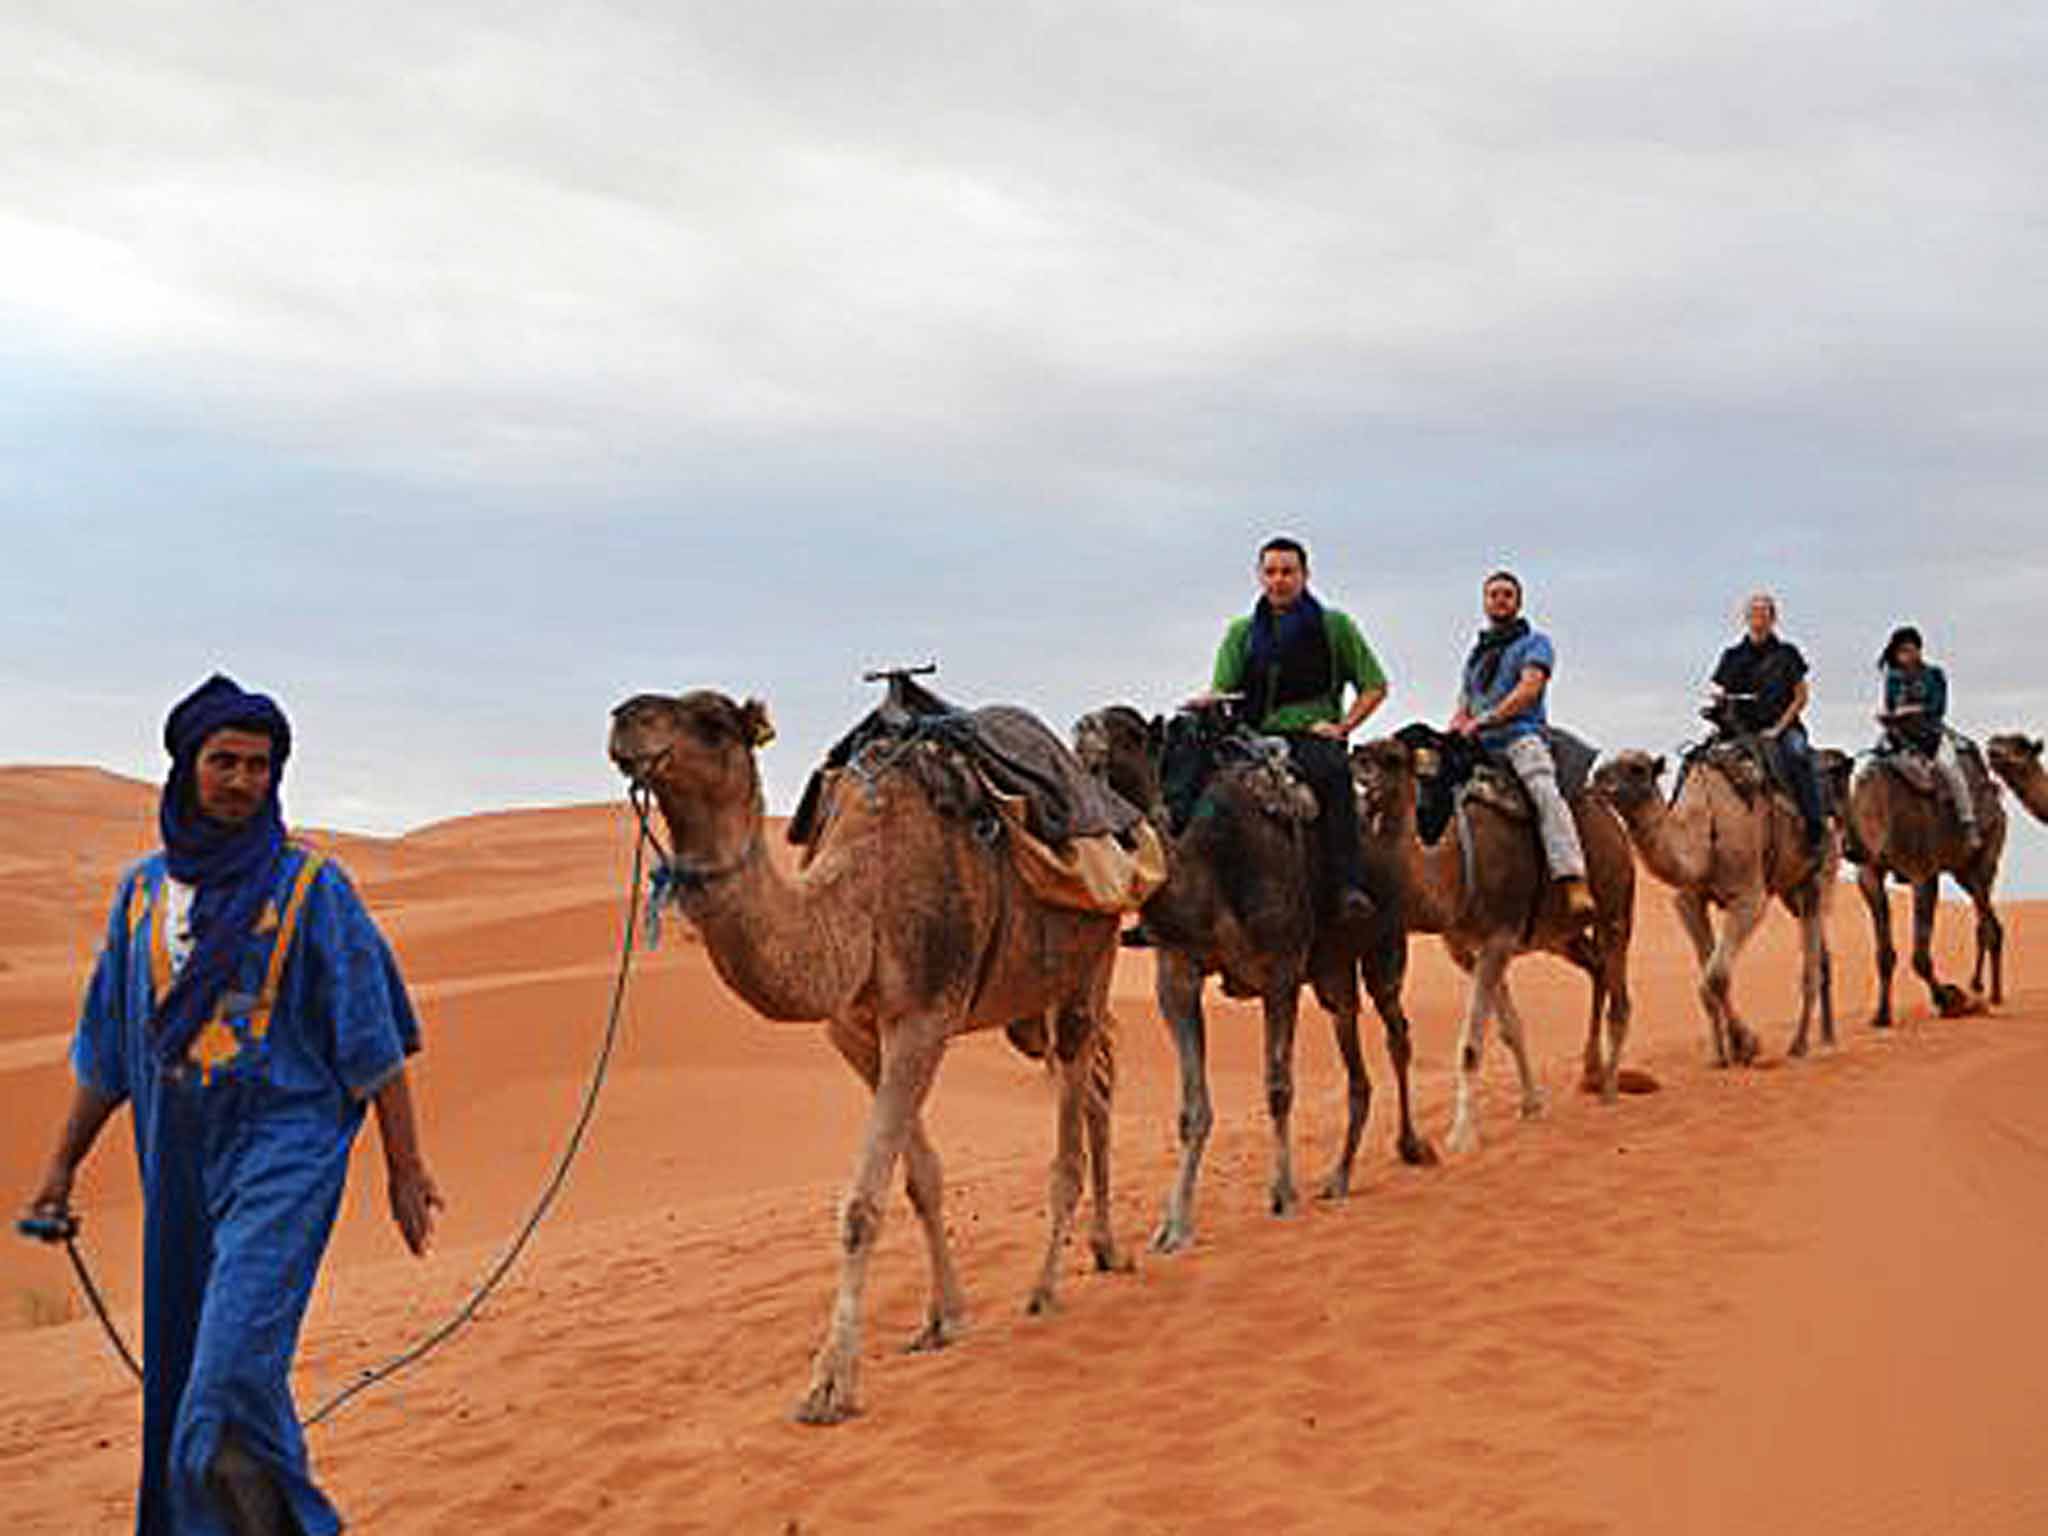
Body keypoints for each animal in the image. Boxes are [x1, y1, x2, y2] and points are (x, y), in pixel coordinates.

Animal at [610, 692, 1122, 1425]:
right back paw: (1108, 1250)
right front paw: (943, 1320)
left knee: (1074, 1126)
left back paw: (1047, 1288)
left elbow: (860, 1206)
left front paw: (830, 1385)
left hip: (1092, 956)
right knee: (1098, 1090)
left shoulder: (923, 1020)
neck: (859, 899)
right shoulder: (856, 1035)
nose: (625, 719)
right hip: (1030, 1006)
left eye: (711, 723)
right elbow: (921, 1181)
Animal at [1073, 704, 1425, 1253]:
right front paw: (1173, 1227)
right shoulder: (1176, 972)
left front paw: (1282, 1195)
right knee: (1353, 1047)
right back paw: (1339, 1177)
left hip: (1385, 941)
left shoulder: (1280, 968)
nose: (1084, 730)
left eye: (1129, 732)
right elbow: (1192, 1109)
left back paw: (1411, 1146)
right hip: (1332, 973)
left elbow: (1278, 1088)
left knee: (1397, 1031)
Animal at [1351, 729, 1638, 1155]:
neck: (1453, 877)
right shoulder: (1469, 951)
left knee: (1620, 1000)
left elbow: (1470, 1045)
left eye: (1392, 757)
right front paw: (1532, 1104)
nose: (1358, 757)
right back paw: (1591, 1072)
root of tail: (1614, 824)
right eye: (1365, 749)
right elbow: (1510, 1028)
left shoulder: (1498, 940)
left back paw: (1609, 1092)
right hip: (1562, 935)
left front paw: (1461, 1137)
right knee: (1598, 967)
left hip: (1617, 907)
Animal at [1581, 749, 1843, 1073]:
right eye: (1605, 767)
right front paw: (1721, 1054)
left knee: (1812, 960)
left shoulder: (1748, 898)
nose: (1598, 779)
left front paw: (1747, 1045)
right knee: (1821, 954)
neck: (1704, 837)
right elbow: (1709, 980)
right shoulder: (1689, 901)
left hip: (1819, 875)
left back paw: (1801, 1044)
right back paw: (1827, 1036)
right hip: (1789, 891)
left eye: (1637, 769)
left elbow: (1716, 977)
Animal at [1826, 741, 1998, 1028]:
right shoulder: (1869, 874)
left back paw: (1984, 993)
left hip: (1982, 860)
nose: (1849, 848)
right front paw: (1882, 1015)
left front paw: (1952, 1001)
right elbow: (1884, 954)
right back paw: (1991, 994)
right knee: (1990, 922)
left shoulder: (1923, 874)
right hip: (1961, 872)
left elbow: (1919, 957)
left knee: (1985, 919)